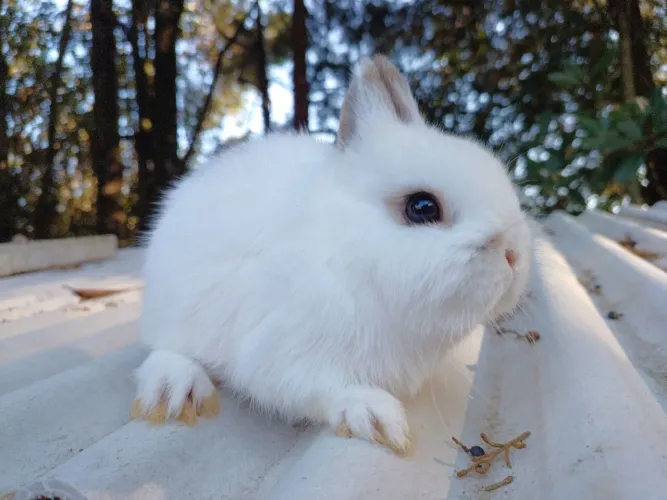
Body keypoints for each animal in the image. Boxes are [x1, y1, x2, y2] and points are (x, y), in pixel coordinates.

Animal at [131, 54, 533, 455]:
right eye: (422, 207)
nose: (514, 255)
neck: (349, 251)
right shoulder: (286, 353)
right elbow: (322, 389)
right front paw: (379, 419)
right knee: (164, 349)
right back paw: (174, 391)